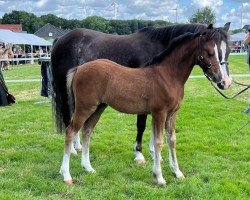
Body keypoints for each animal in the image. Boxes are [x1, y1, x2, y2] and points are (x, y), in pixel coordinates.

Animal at [60, 27, 232, 184]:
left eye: (226, 51)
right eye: (210, 52)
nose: (221, 80)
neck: (167, 75)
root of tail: (79, 68)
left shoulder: (172, 114)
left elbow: (172, 140)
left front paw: (177, 172)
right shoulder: (159, 113)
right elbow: (158, 142)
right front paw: (159, 177)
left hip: (98, 108)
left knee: (87, 131)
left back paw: (88, 168)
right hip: (84, 107)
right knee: (70, 132)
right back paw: (66, 175)